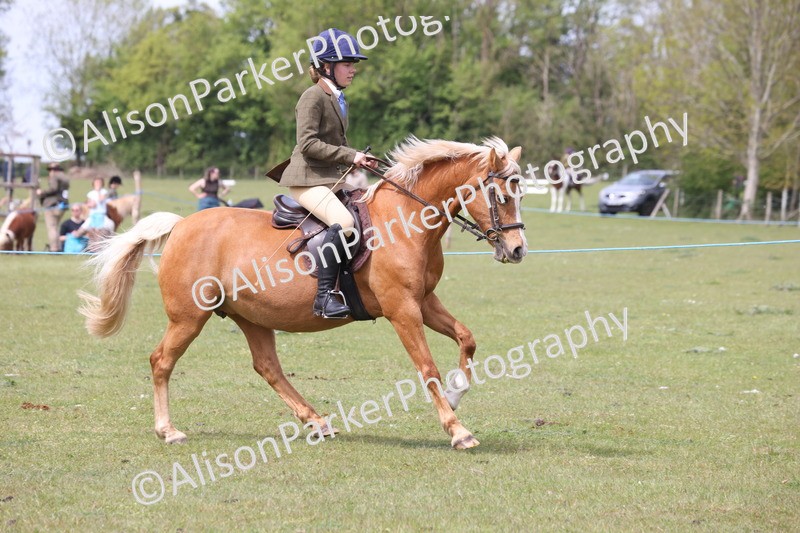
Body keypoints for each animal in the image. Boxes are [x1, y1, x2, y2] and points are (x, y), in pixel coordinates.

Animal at [78, 137, 528, 450]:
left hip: (251, 317)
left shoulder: (424, 302)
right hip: (189, 317)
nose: (517, 250)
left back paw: (316, 421)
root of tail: (181, 225)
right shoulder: (402, 309)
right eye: (501, 194)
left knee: (268, 368)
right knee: (162, 362)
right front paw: (457, 430)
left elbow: (467, 338)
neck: (406, 220)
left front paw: (456, 395)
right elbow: (427, 368)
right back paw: (168, 431)